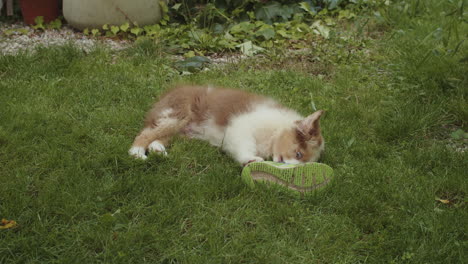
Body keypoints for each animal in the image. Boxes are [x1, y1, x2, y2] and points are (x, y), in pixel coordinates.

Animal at [129, 85, 326, 165]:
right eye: (298, 154)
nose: (290, 168)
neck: (274, 132)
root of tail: (168, 93)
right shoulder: (241, 127)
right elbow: (244, 145)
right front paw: (250, 159)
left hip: (180, 129)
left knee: (158, 137)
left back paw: (158, 150)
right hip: (176, 116)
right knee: (145, 134)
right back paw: (137, 153)